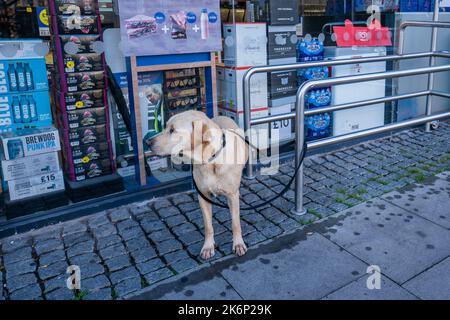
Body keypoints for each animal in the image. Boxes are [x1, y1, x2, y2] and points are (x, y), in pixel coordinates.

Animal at [148, 111, 248, 258]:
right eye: (165, 127)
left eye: (172, 130)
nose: (147, 142)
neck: (211, 160)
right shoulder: (203, 196)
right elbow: (208, 226)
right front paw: (208, 246)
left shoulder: (232, 195)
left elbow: (235, 223)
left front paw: (238, 244)